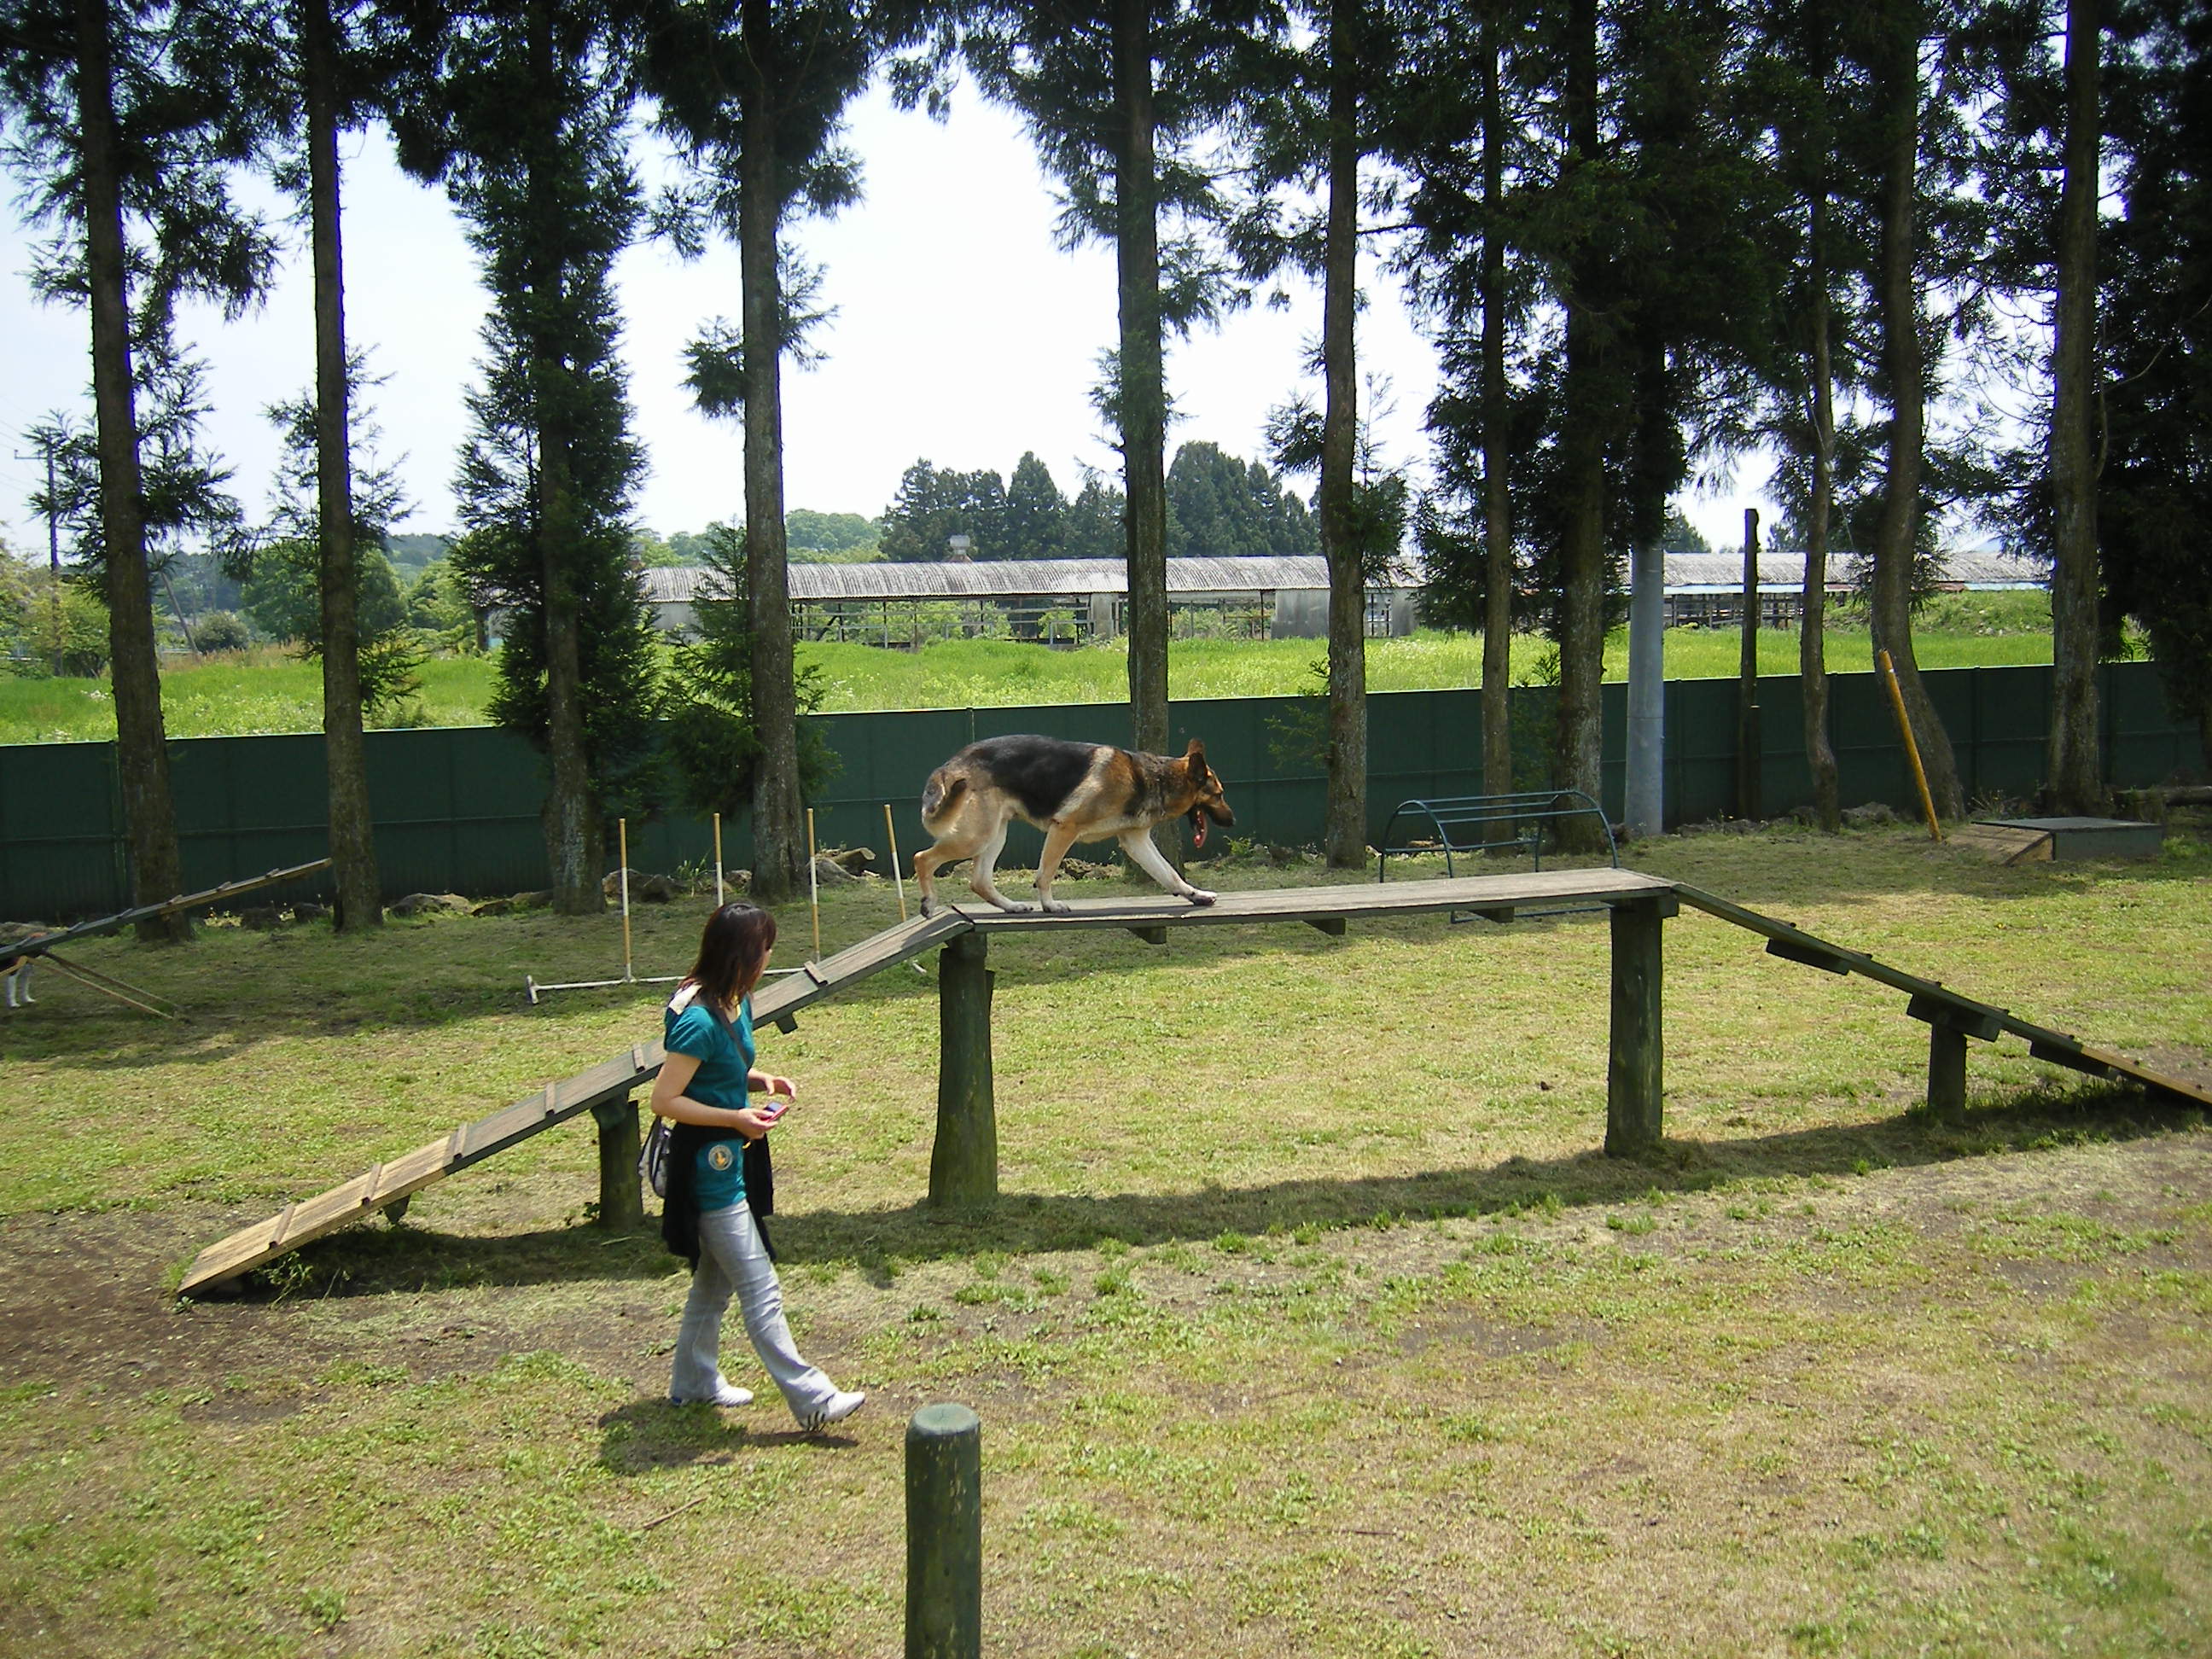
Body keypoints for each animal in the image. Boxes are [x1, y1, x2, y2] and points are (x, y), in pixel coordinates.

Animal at [906, 738, 1238, 924]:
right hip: (976, 837)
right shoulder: (1064, 829)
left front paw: (1195, 895)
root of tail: (951, 763)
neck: (1152, 777)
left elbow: (1169, 873)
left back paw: (1012, 907)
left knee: (979, 881)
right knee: (922, 857)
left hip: (995, 834)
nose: (1233, 821)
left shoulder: (1136, 841)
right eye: (1220, 795)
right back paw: (929, 902)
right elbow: (1045, 874)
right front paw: (1050, 905)